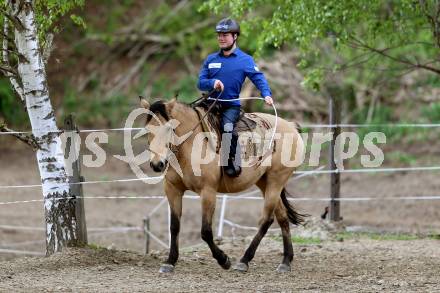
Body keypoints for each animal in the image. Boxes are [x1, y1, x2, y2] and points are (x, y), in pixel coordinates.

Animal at [138, 97, 306, 272]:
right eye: (147, 129)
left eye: (169, 129)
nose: (157, 164)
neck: (190, 145)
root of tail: (291, 126)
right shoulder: (173, 190)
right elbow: (174, 227)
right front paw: (170, 261)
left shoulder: (208, 192)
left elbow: (205, 231)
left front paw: (223, 260)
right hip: (265, 182)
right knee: (282, 217)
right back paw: (286, 260)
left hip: (276, 180)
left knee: (266, 220)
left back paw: (244, 260)